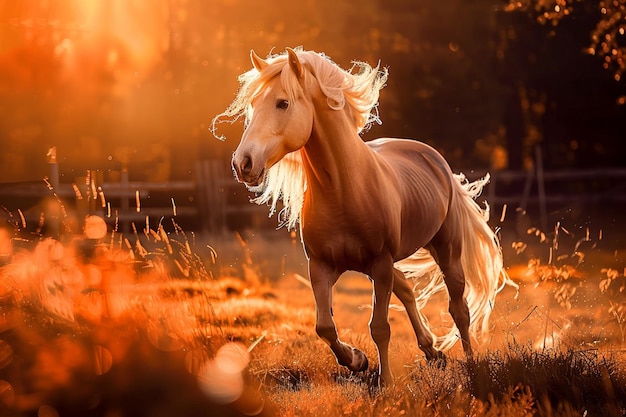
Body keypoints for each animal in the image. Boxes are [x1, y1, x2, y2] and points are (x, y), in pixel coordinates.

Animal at [212, 47, 516, 386]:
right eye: (252, 104)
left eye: (283, 103)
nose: (243, 163)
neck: (344, 188)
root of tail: (435, 159)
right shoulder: (321, 266)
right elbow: (324, 326)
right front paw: (357, 360)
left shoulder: (380, 264)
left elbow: (380, 327)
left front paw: (386, 383)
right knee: (407, 290)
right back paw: (432, 351)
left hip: (445, 250)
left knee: (459, 308)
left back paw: (472, 366)